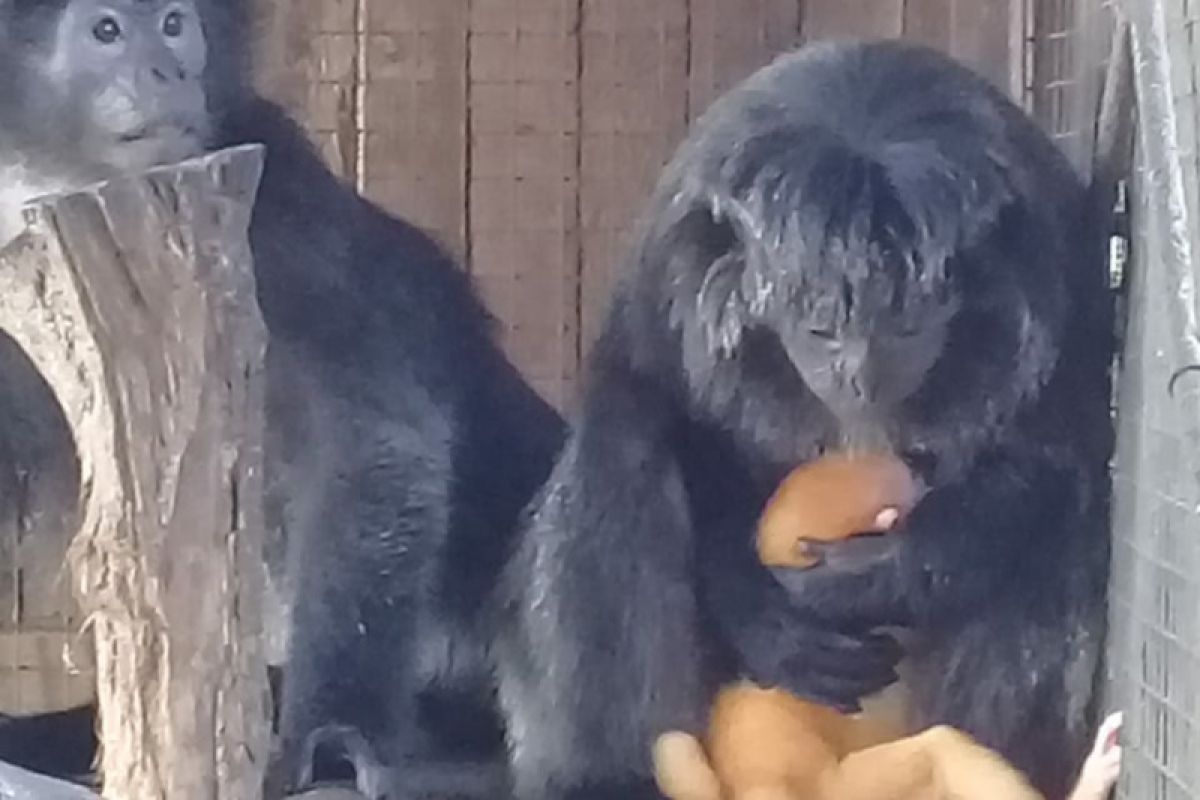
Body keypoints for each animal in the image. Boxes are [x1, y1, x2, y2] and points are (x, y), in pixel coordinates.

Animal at [0, 0, 564, 796]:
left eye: (173, 23)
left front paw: (333, 729)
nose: (167, 72)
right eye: (106, 31)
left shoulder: (286, 200)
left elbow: (376, 436)